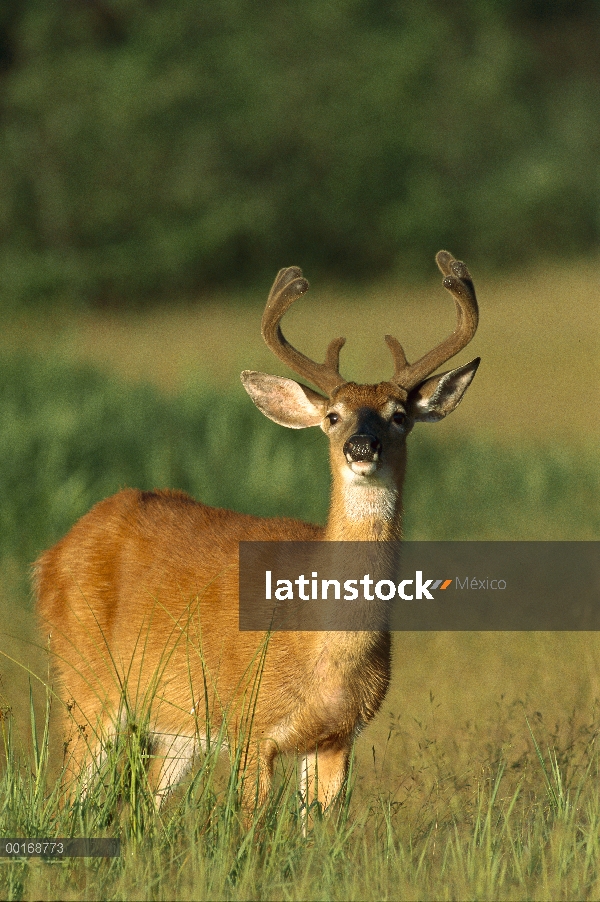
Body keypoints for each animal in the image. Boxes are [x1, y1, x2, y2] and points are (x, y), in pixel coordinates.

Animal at [35, 251, 480, 824]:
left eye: (399, 416)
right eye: (332, 416)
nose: (361, 447)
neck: (322, 646)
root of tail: (52, 554)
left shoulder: (338, 737)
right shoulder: (250, 721)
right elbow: (252, 826)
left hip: (175, 724)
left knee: (145, 806)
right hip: (85, 681)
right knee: (66, 794)